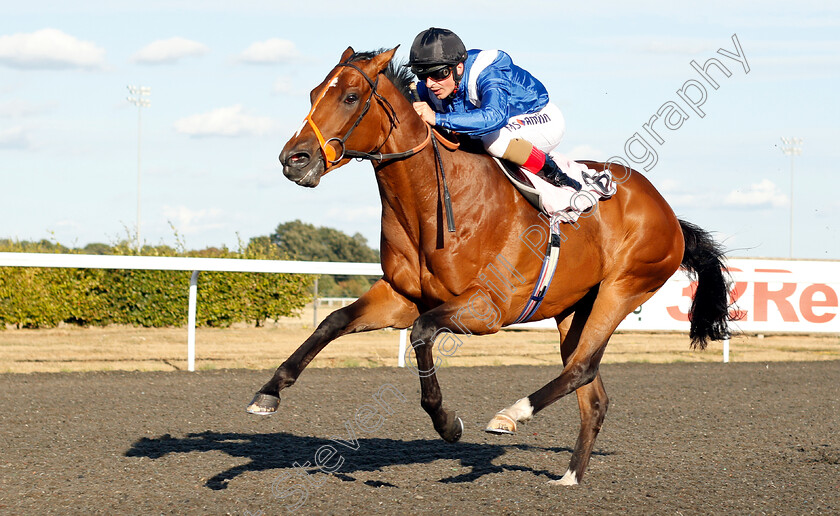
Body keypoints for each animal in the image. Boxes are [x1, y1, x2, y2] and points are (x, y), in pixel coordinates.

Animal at [248, 46, 728, 486]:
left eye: (349, 97)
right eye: (313, 94)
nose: (293, 159)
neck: (433, 200)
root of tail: (669, 214)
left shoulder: (486, 309)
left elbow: (422, 332)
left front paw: (447, 423)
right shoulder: (400, 295)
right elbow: (333, 321)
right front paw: (268, 393)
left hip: (623, 288)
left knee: (582, 368)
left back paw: (512, 413)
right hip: (575, 309)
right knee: (591, 391)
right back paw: (569, 477)